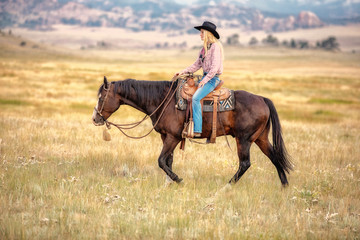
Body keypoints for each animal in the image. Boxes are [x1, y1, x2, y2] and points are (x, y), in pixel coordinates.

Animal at [93, 77, 292, 186]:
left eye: (102, 97)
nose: (95, 118)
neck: (163, 101)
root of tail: (262, 99)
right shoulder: (166, 136)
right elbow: (168, 161)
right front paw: (169, 183)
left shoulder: (172, 136)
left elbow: (161, 161)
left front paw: (179, 181)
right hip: (260, 138)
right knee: (275, 157)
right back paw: (284, 186)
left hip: (243, 140)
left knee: (245, 163)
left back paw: (227, 186)